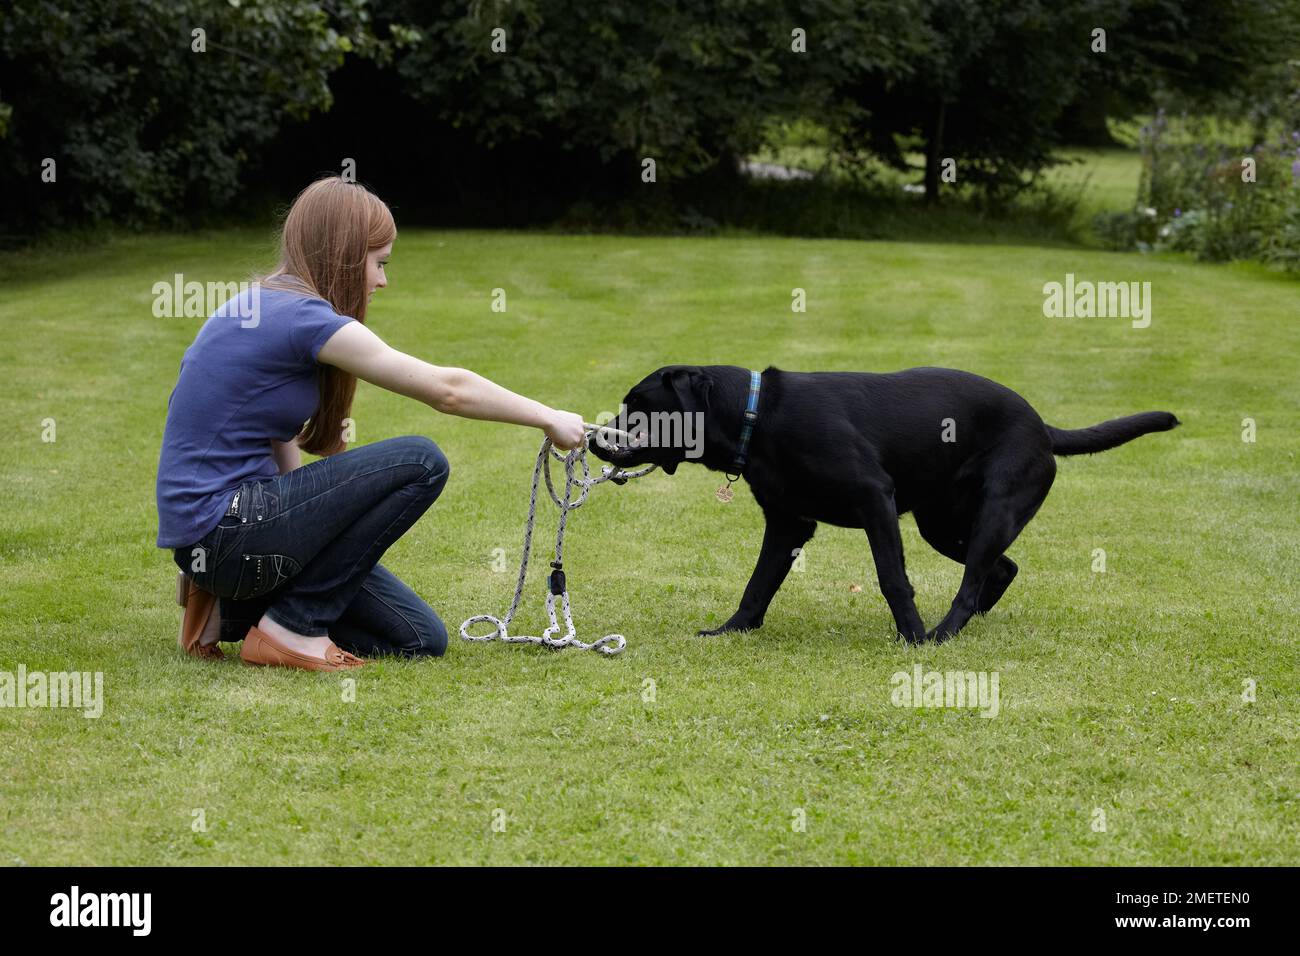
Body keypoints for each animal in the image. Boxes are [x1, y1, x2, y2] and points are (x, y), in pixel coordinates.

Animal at [595, 366, 1185, 642]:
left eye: (641, 405)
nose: (597, 436)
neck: (757, 416)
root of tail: (1044, 427)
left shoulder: (874, 499)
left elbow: (892, 579)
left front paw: (912, 637)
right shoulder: (788, 524)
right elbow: (757, 584)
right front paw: (731, 631)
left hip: (992, 509)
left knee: (976, 577)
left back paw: (942, 634)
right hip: (940, 522)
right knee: (1001, 569)